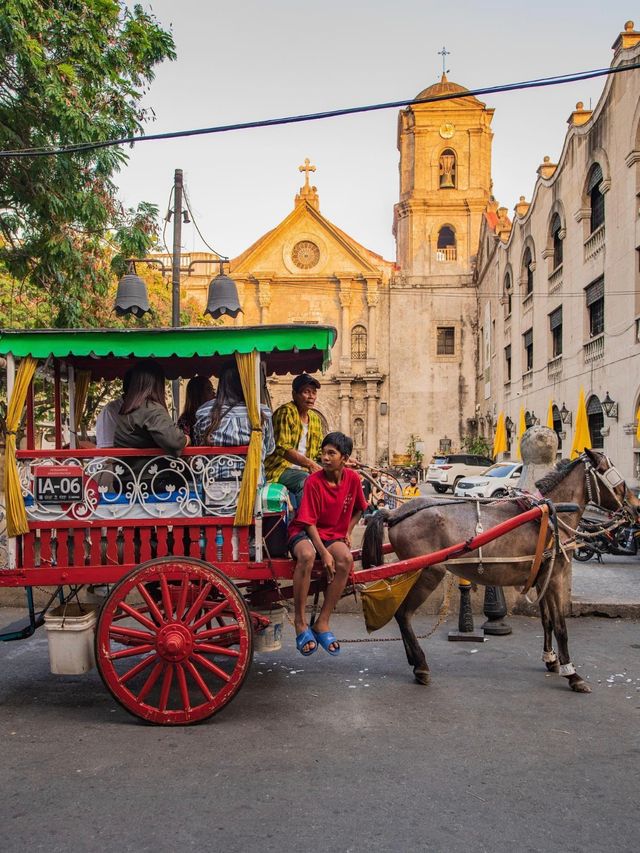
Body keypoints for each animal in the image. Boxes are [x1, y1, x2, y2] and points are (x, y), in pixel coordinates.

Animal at [362, 446, 636, 692]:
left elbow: (546, 621)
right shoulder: (555, 578)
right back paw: (420, 665)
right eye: (609, 473)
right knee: (403, 614)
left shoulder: (543, 577)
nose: (635, 506)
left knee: (402, 614)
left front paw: (551, 659)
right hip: (429, 571)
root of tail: (395, 512)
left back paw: (414, 660)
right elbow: (561, 626)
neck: (551, 513)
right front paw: (572, 674)